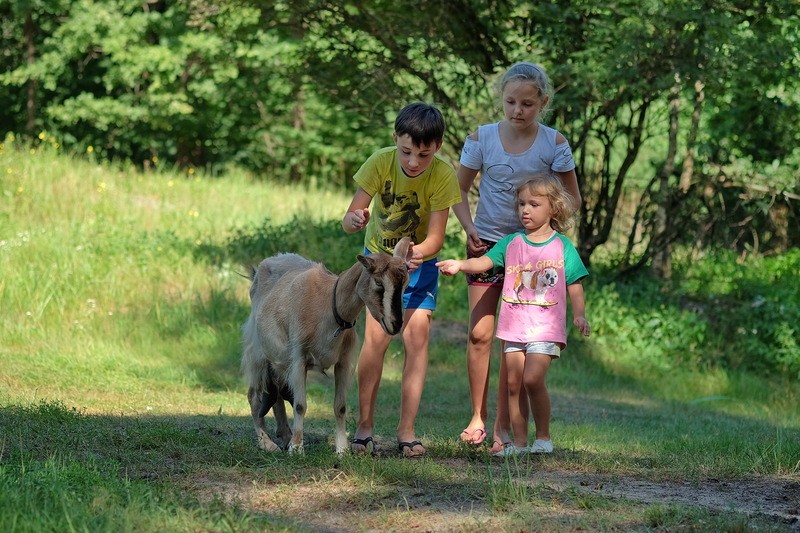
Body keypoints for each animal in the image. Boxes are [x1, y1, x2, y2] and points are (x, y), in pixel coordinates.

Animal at [241, 237, 410, 454]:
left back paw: (285, 436)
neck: (330, 305)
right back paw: (267, 442)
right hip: (258, 352)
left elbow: (340, 406)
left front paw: (342, 450)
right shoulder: (298, 357)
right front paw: (297, 448)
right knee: (254, 396)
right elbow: (300, 405)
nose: (396, 324)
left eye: (406, 284)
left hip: (277, 358)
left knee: (276, 393)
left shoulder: (344, 362)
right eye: (379, 282)